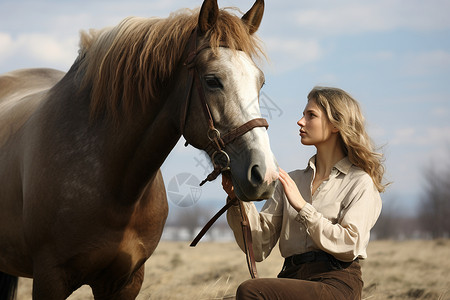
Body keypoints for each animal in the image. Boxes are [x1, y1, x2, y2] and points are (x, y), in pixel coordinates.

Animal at [0, 0, 278, 298]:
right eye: (212, 80)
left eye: (260, 81)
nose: (265, 175)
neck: (114, 187)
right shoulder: (50, 279)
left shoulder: (127, 281)